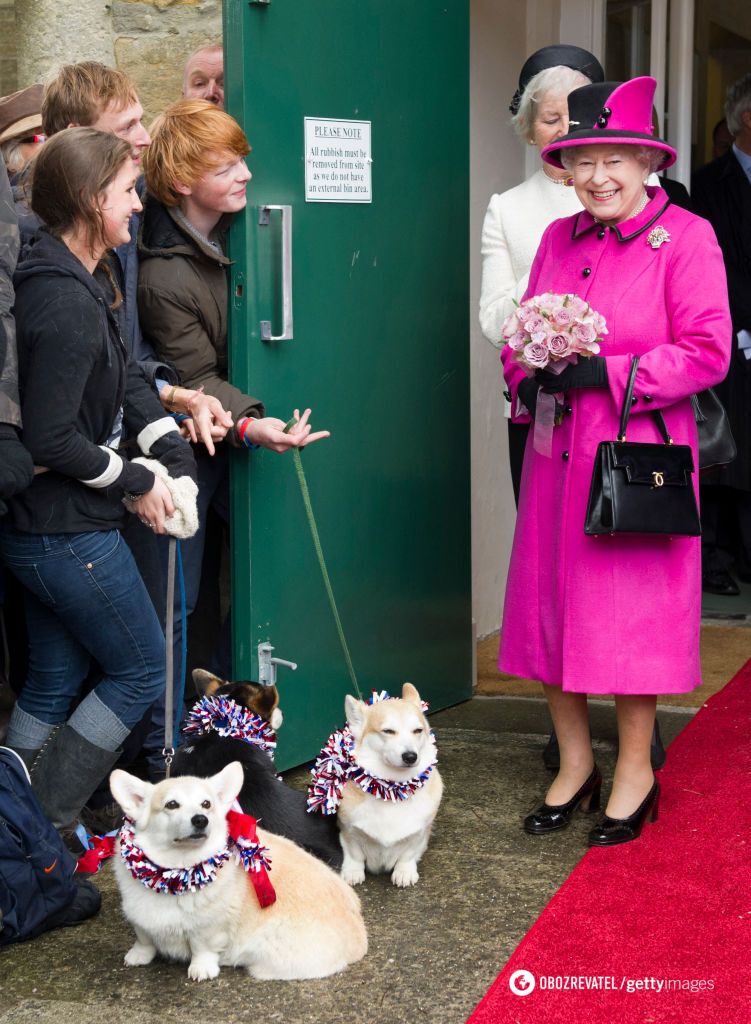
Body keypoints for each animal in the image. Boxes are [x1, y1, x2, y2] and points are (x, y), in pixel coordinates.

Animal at [110, 765, 366, 978]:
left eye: (206, 804)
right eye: (171, 804)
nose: (200, 820)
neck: (172, 873)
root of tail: (360, 937)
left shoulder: (210, 927)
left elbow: (202, 947)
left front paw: (201, 969)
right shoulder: (139, 918)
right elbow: (144, 939)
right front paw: (138, 955)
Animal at [334, 688, 438, 888]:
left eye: (417, 730)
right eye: (388, 731)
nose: (410, 756)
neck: (393, 789)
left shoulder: (419, 834)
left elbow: (408, 854)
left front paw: (404, 872)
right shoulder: (348, 831)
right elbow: (354, 855)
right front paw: (352, 873)